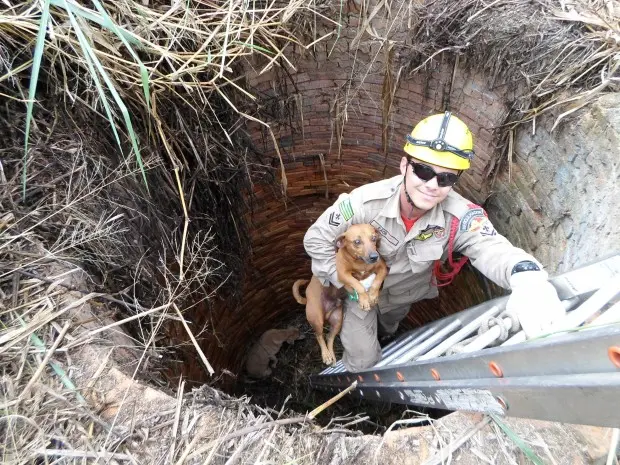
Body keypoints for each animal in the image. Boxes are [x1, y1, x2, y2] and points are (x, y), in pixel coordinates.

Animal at [292, 223, 388, 364]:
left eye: (374, 238)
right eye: (357, 242)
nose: (374, 257)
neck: (360, 263)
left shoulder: (382, 267)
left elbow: (377, 281)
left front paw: (373, 295)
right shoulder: (343, 274)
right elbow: (357, 284)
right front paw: (364, 300)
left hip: (337, 321)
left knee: (329, 337)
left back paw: (332, 355)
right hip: (316, 319)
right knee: (319, 335)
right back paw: (326, 355)